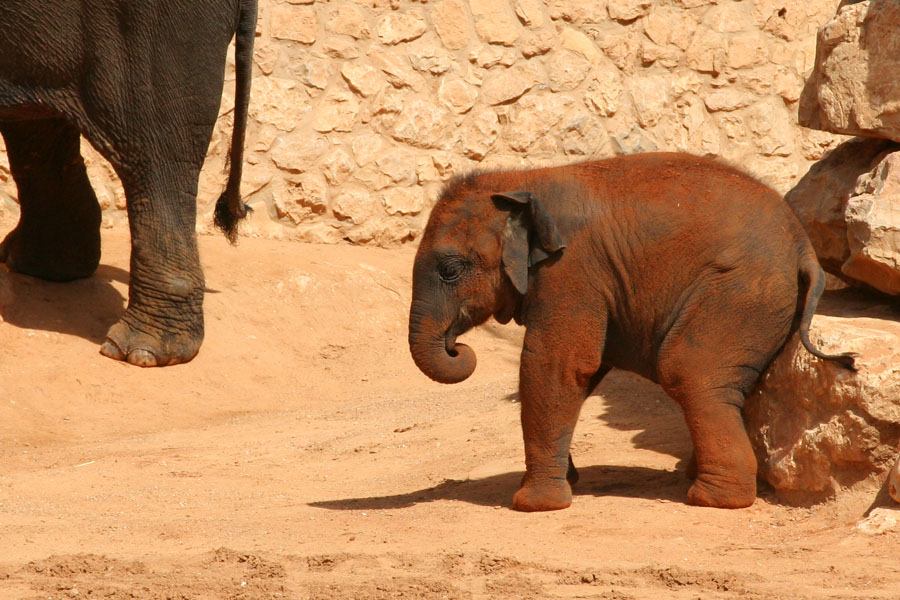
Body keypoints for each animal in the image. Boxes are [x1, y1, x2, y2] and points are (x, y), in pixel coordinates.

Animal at [412, 152, 856, 508]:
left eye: (450, 270)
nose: (458, 348)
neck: (523, 179)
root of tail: (803, 245)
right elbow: (583, 370)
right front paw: (564, 481)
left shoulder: (572, 269)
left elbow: (558, 365)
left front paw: (534, 504)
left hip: (739, 294)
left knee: (689, 371)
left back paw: (711, 498)